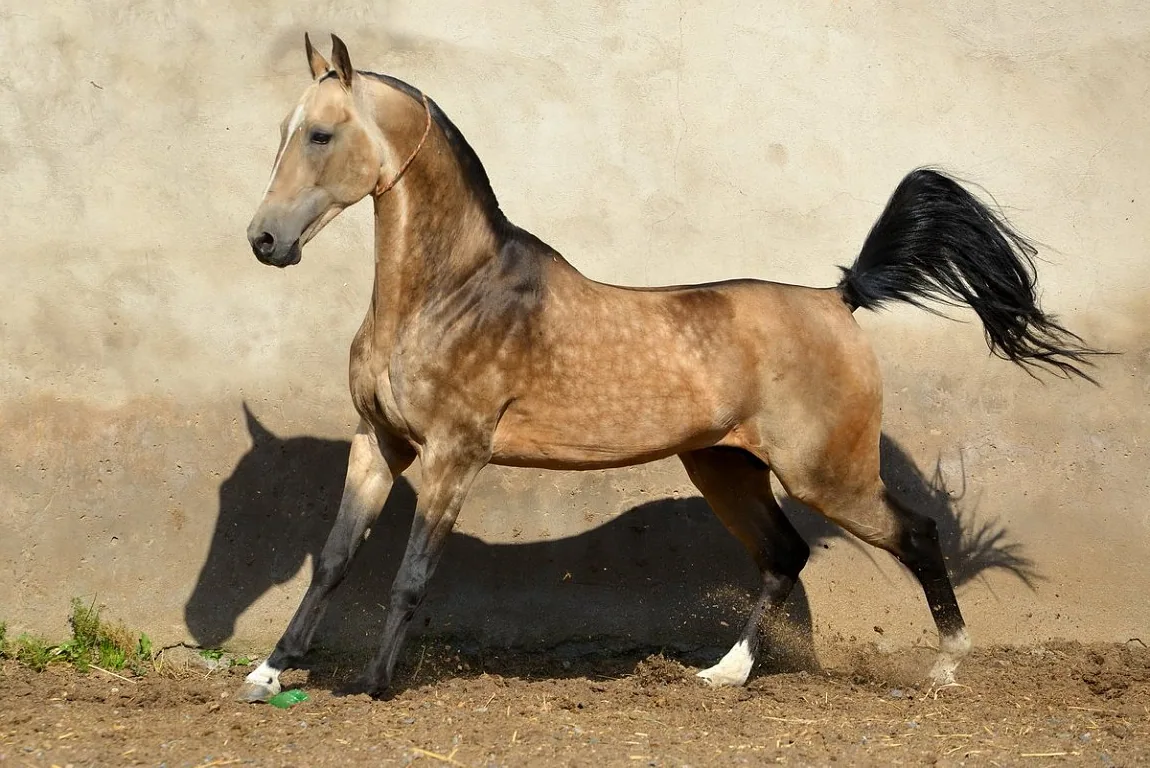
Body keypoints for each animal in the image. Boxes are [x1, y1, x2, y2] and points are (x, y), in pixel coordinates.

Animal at [236, 34, 1101, 702]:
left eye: (321, 134)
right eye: (281, 128)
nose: (265, 242)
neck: (450, 293)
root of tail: (840, 298)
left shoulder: (456, 453)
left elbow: (413, 572)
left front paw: (376, 683)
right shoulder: (378, 441)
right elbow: (334, 559)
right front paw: (269, 673)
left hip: (828, 473)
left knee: (914, 533)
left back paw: (946, 668)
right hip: (725, 467)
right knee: (785, 557)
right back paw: (723, 674)